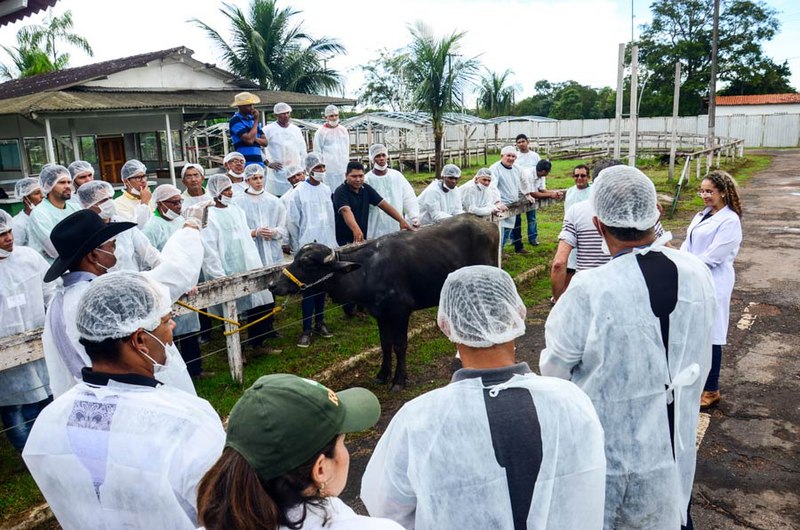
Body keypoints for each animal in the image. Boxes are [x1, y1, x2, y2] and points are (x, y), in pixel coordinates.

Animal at [268, 212, 500, 390]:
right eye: (295, 258)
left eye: (307, 263)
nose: (273, 285)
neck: (367, 271)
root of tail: (487, 224)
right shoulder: (380, 313)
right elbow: (385, 344)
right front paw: (382, 374)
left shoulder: (400, 312)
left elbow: (400, 345)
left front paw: (399, 380)